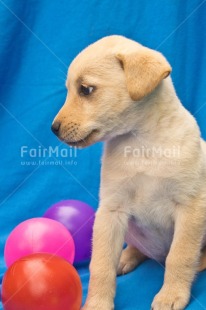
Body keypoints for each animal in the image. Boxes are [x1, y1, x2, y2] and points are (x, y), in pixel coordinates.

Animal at [51, 35, 206, 308]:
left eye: (86, 89)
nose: (53, 128)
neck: (142, 145)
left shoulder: (191, 207)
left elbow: (180, 256)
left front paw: (172, 294)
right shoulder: (111, 211)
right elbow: (101, 265)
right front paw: (97, 303)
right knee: (138, 250)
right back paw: (125, 258)